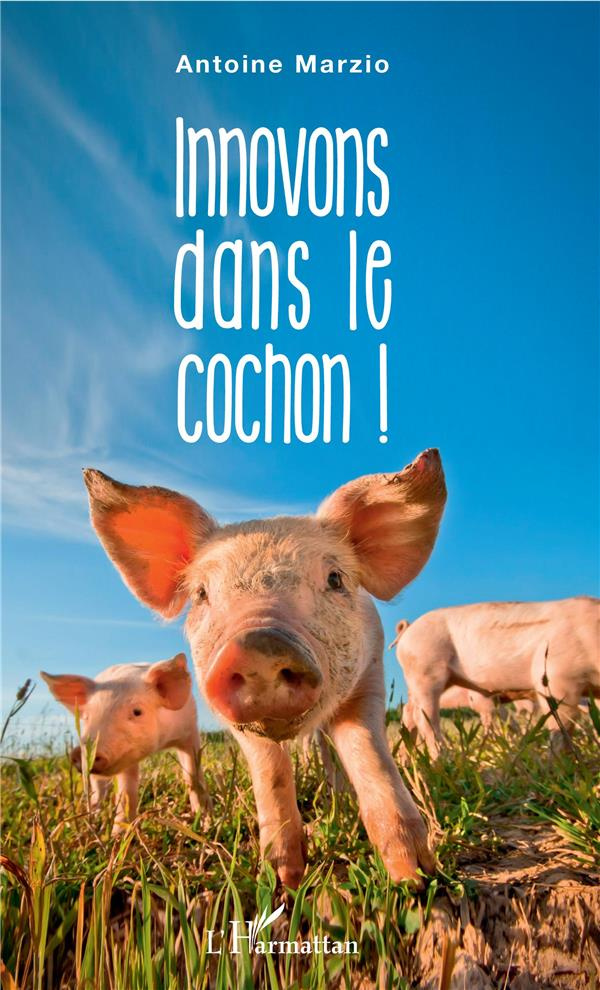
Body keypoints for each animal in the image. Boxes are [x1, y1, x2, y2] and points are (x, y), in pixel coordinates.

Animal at [41, 654, 211, 827]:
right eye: (87, 717)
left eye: (137, 712)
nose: (79, 752)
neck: (161, 743)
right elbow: (127, 793)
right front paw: (120, 832)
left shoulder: (189, 730)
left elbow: (193, 775)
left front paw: (206, 821)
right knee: (98, 788)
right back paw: (94, 814)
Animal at [82, 447, 447, 887]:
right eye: (201, 593)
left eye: (335, 578)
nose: (258, 644)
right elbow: (270, 773)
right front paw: (284, 879)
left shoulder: (370, 676)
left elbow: (368, 752)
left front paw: (416, 877)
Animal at [393, 598, 600, 758]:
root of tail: (408, 630)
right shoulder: (556, 677)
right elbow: (562, 723)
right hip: (425, 671)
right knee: (424, 718)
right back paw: (442, 760)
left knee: (409, 713)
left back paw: (408, 758)